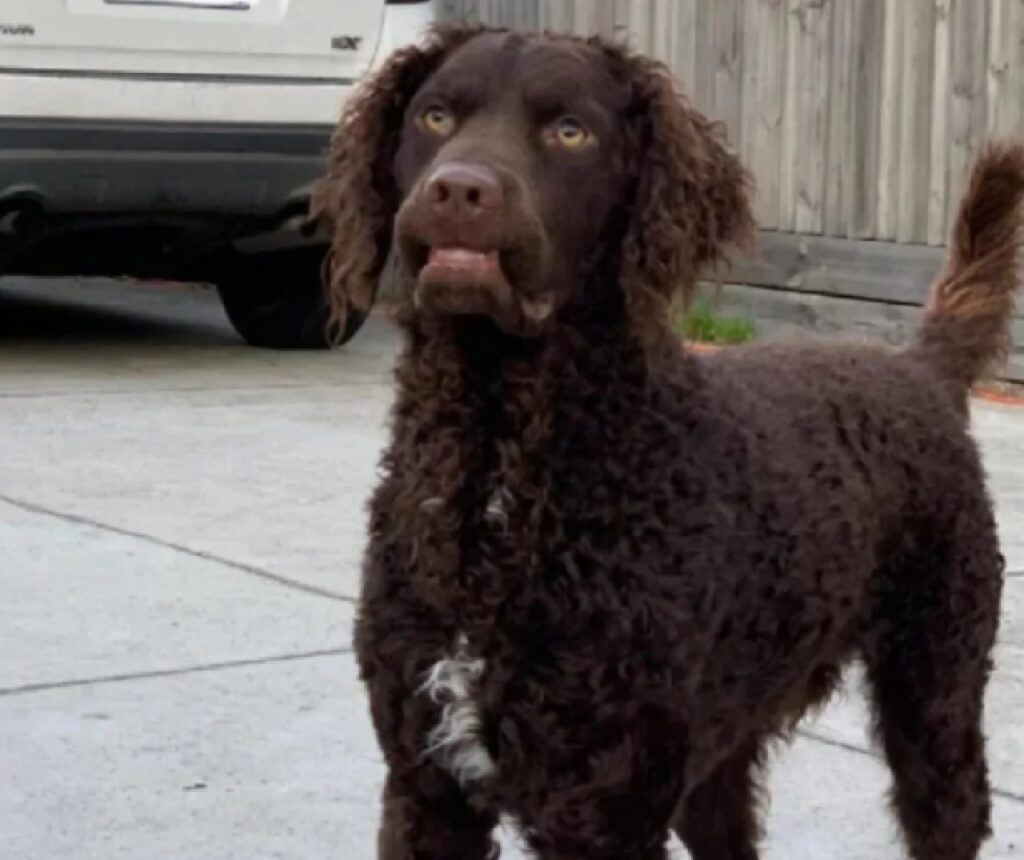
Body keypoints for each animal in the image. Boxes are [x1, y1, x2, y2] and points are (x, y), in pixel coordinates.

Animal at [315, 23, 1019, 855]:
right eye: (433, 116)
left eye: (571, 131)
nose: (458, 190)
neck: (498, 472)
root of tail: (921, 366)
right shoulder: (425, 784)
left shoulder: (603, 804)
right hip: (722, 748)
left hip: (935, 693)